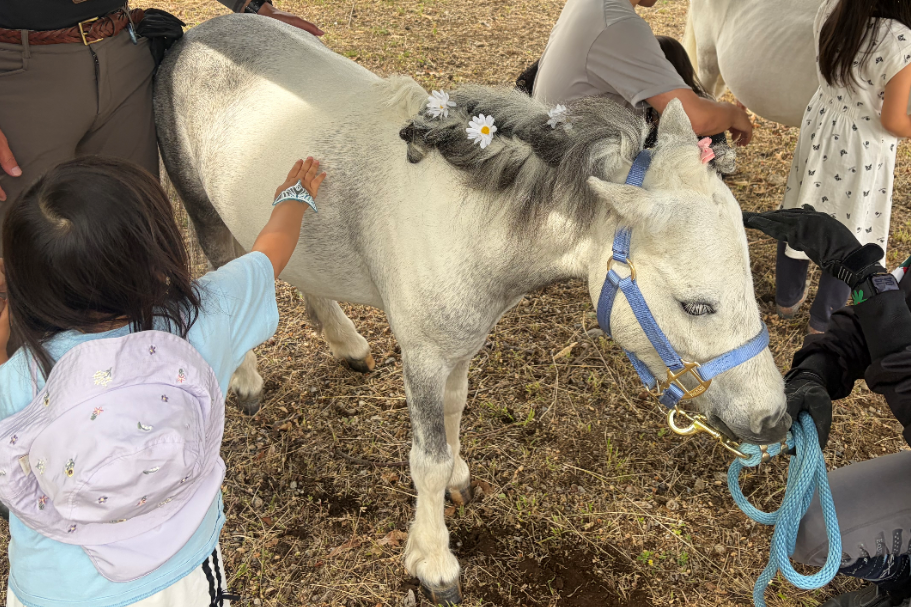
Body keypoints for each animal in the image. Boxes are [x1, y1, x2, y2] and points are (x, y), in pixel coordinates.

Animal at [154, 14, 788, 604]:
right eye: (696, 305)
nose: (773, 421)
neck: (466, 218)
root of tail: (192, 37)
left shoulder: (459, 345)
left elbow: (455, 415)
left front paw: (459, 477)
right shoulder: (424, 355)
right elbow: (427, 458)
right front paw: (433, 560)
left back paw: (346, 342)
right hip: (204, 211)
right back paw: (246, 380)